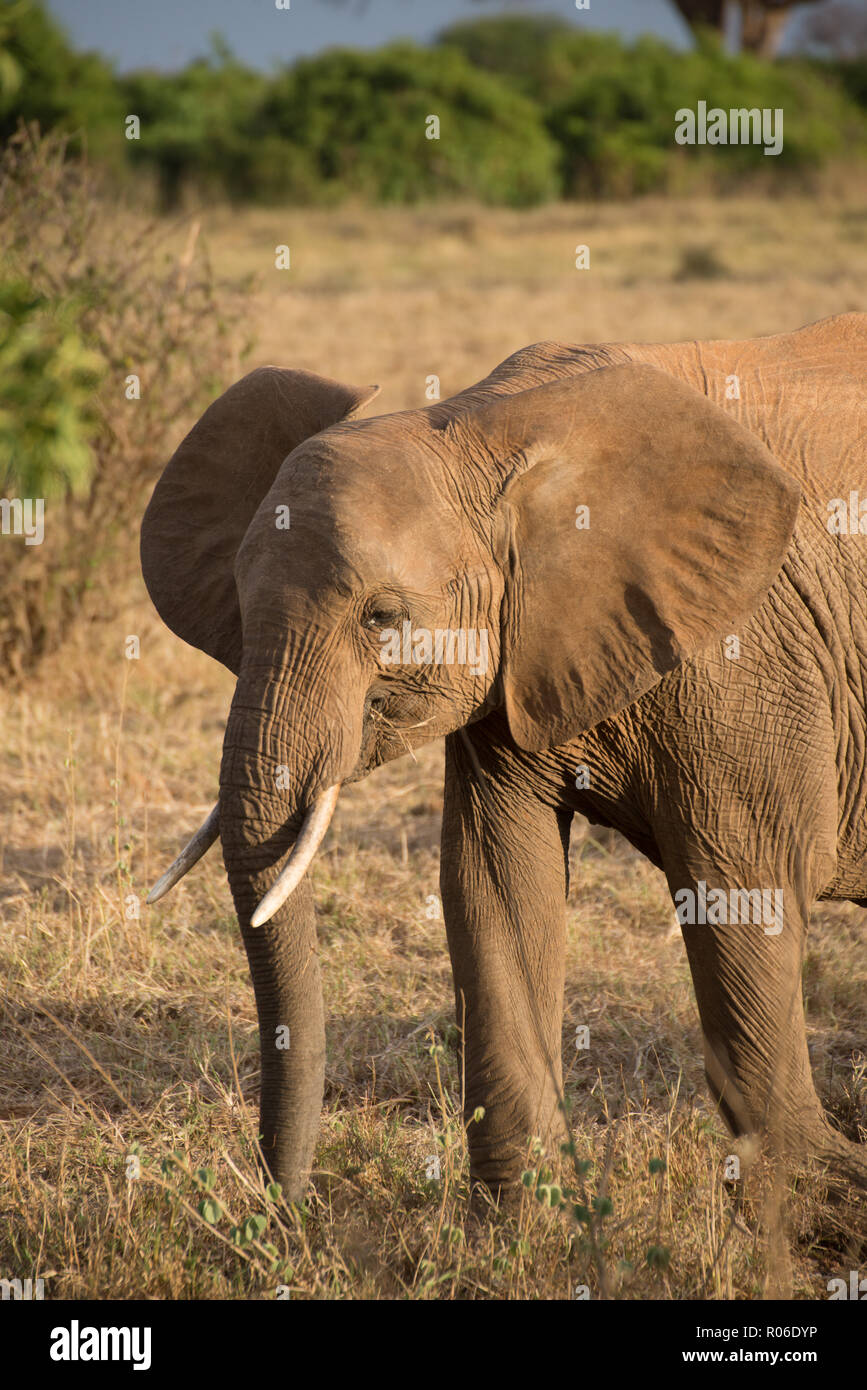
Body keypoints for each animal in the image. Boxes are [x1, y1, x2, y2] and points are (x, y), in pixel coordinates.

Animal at [140, 309, 867, 1200]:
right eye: (241, 607)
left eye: (381, 618)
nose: (285, 1205)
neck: (482, 428)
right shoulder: (516, 654)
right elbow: (496, 883)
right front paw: (526, 1219)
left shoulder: (748, 658)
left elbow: (741, 886)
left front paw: (806, 1202)